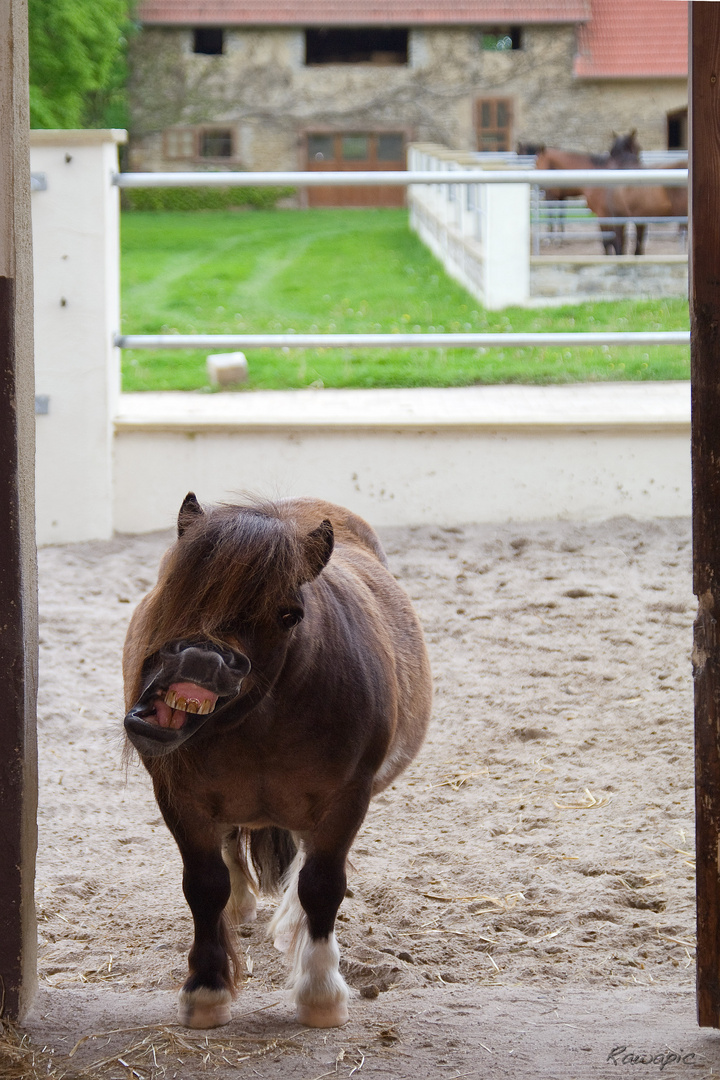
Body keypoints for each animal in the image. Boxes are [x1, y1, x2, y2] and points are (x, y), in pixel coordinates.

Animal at [122, 494, 433, 1028]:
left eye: (289, 614)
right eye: (174, 583)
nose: (202, 659)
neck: (263, 727)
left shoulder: (346, 801)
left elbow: (322, 886)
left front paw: (320, 993)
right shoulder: (182, 800)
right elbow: (204, 886)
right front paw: (207, 990)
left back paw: (292, 927)